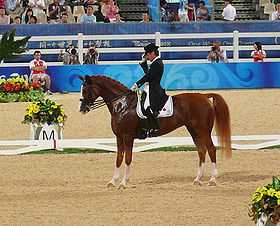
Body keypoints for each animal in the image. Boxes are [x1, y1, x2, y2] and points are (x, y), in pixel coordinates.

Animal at [80, 75, 231, 188]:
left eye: (85, 90)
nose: (82, 108)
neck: (122, 105)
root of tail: (204, 96)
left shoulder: (128, 136)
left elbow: (128, 158)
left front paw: (123, 183)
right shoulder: (119, 137)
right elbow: (119, 158)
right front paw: (112, 181)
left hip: (203, 131)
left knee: (211, 149)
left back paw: (212, 179)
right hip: (194, 131)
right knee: (201, 150)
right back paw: (197, 179)